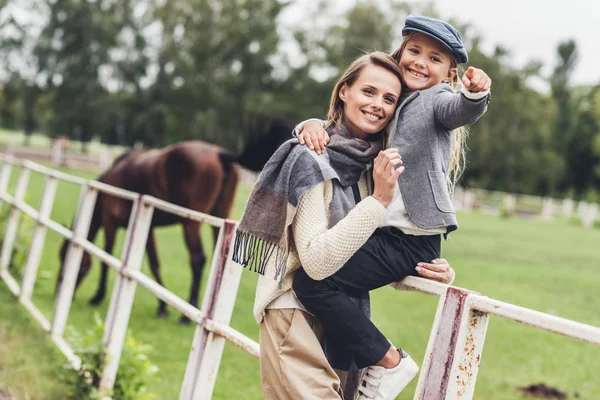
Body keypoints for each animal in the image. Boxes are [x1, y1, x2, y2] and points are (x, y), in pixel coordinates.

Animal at [57, 118, 296, 322]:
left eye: (65, 256)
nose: (59, 286)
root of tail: (221, 154)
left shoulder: (110, 223)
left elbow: (106, 256)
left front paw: (97, 296)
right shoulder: (147, 227)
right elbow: (154, 263)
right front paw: (162, 307)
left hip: (191, 223)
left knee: (197, 259)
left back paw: (187, 314)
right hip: (219, 218)